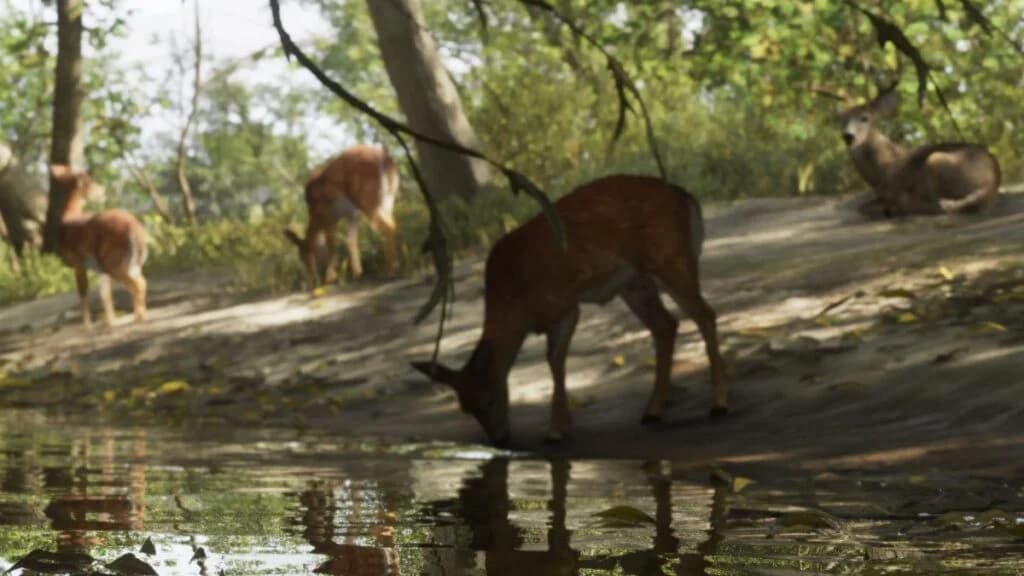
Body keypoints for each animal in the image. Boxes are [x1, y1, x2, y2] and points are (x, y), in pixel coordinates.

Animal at [50, 165, 148, 328]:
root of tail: (134, 229)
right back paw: (135, 316)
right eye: (89, 181)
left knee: (138, 285)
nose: (102, 191)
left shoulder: (78, 262)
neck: (68, 216)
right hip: (129, 263)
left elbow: (84, 292)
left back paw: (137, 318)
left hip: (113, 262)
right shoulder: (94, 267)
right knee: (141, 282)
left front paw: (88, 327)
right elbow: (104, 294)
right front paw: (107, 322)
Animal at [283, 145, 400, 286]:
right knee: (393, 224)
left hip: (367, 200)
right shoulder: (352, 214)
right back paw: (393, 269)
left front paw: (330, 278)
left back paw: (390, 272)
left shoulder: (327, 213)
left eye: (303, 255)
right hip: (388, 199)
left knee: (388, 227)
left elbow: (332, 243)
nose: (314, 281)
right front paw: (358, 274)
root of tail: (385, 158)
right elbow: (351, 241)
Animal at [411, 174, 727, 447]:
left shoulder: (565, 305)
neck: (517, 304)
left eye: (489, 398)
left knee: (704, 314)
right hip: (635, 283)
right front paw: (565, 423)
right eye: (465, 407)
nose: (499, 440)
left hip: (670, 257)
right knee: (666, 325)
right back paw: (652, 411)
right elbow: (556, 362)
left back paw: (718, 405)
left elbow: (554, 361)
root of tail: (686, 197)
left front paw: (555, 430)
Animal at [832, 85, 1001, 217]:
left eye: (864, 118)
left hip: (936, 159)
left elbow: (865, 206)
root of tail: (991, 183)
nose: (848, 136)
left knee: (941, 206)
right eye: (842, 120)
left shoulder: (895, 186)